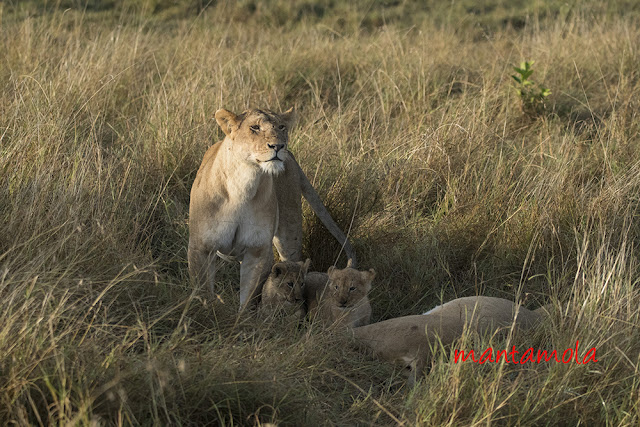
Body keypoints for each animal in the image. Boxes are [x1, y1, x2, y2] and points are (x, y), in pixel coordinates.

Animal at [190, 108, 358, 310]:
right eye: (255, 127)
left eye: (282, 127)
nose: (278, 146)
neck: (243, 185)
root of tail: (291, 156)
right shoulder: (201, 247)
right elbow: (203, 291)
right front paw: (206, 312)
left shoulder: (257, 250)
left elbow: (248, 297)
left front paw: (243, 317)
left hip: (289, 233)